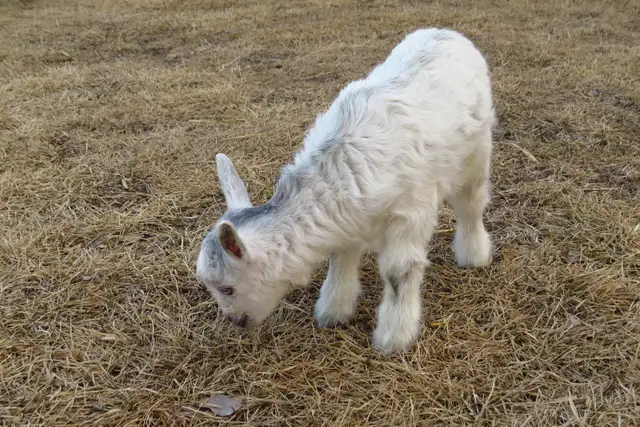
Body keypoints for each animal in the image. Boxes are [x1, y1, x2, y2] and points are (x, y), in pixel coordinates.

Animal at [196, 28, 495, 354]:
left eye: (227, 288)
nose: (237, 321)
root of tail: (447, 32)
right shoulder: (348, 218)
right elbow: (340, 258)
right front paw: (333, 312)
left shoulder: (411, 213)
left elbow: (399, 272)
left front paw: (394, 338)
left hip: (477, 153)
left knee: (471, 205)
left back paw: (474, 255)